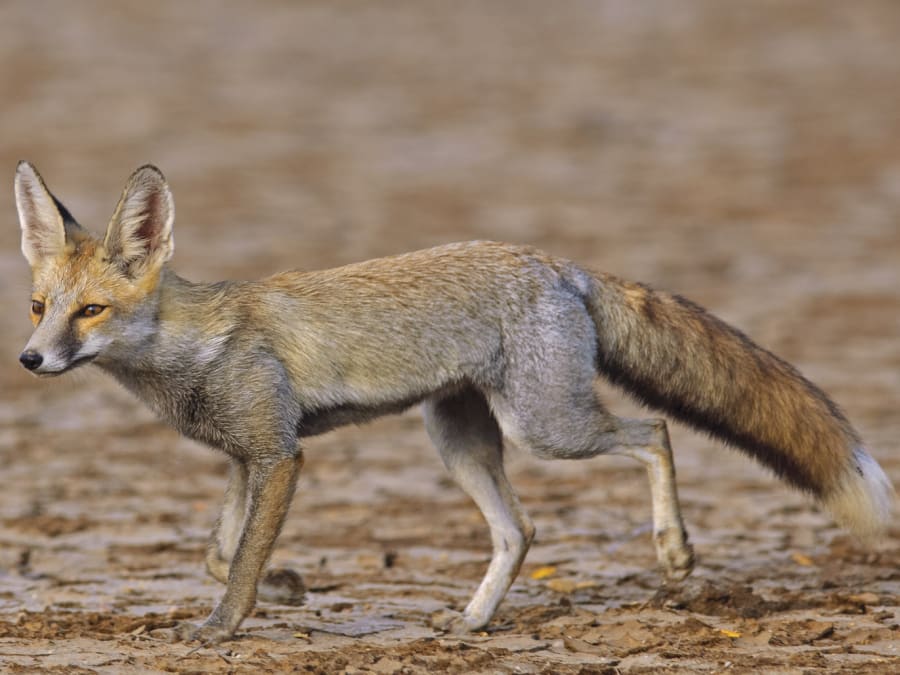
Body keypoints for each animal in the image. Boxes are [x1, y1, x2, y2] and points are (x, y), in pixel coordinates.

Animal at [14, 160, 892, 644]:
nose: (29, 359)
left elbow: (237, 565)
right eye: (38, 307)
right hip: (459, 438)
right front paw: (291, 585)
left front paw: (226, 627)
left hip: (547, 426)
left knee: (653, 431)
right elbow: (217, 551)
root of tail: (555, 261)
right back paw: (473, 622)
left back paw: (674, 550)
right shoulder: (245, 456)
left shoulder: (281, 454)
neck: (194, 346)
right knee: (521, 528)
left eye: (90, 311)